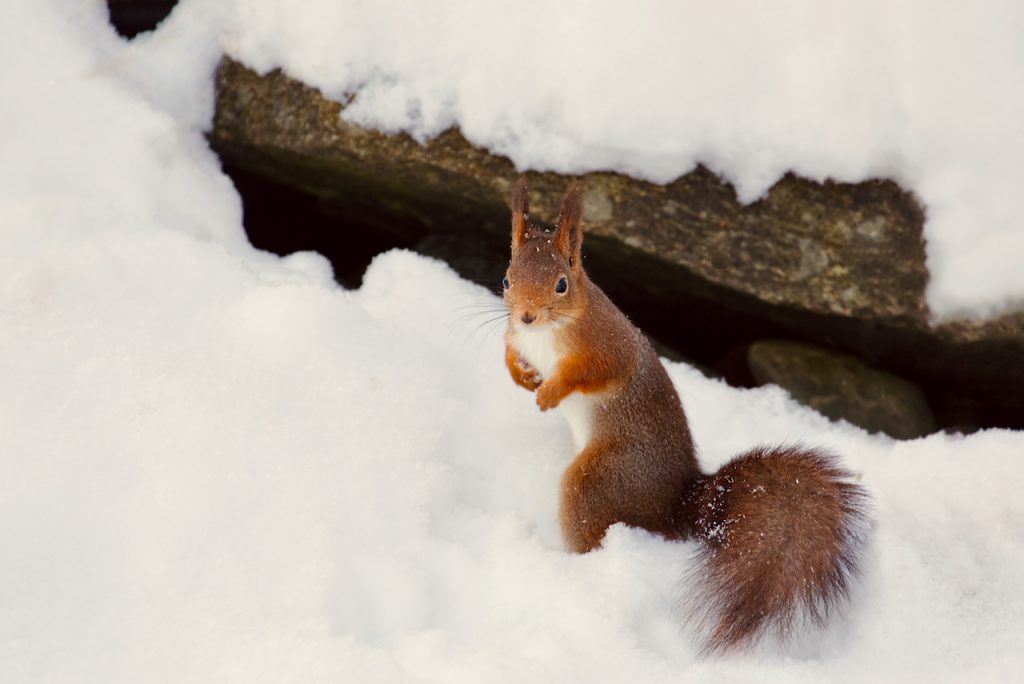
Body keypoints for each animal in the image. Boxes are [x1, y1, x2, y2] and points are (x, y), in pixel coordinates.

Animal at [499, 176, 868, 651]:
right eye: (506, 278)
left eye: (561, 284)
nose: (526, 316)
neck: (547, 333)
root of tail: (675, 504)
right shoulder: (517, 336)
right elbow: (509, 350)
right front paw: (521, 375)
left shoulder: (607, 348)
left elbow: (593, 373)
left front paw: (550, 393)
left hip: (605, 478)